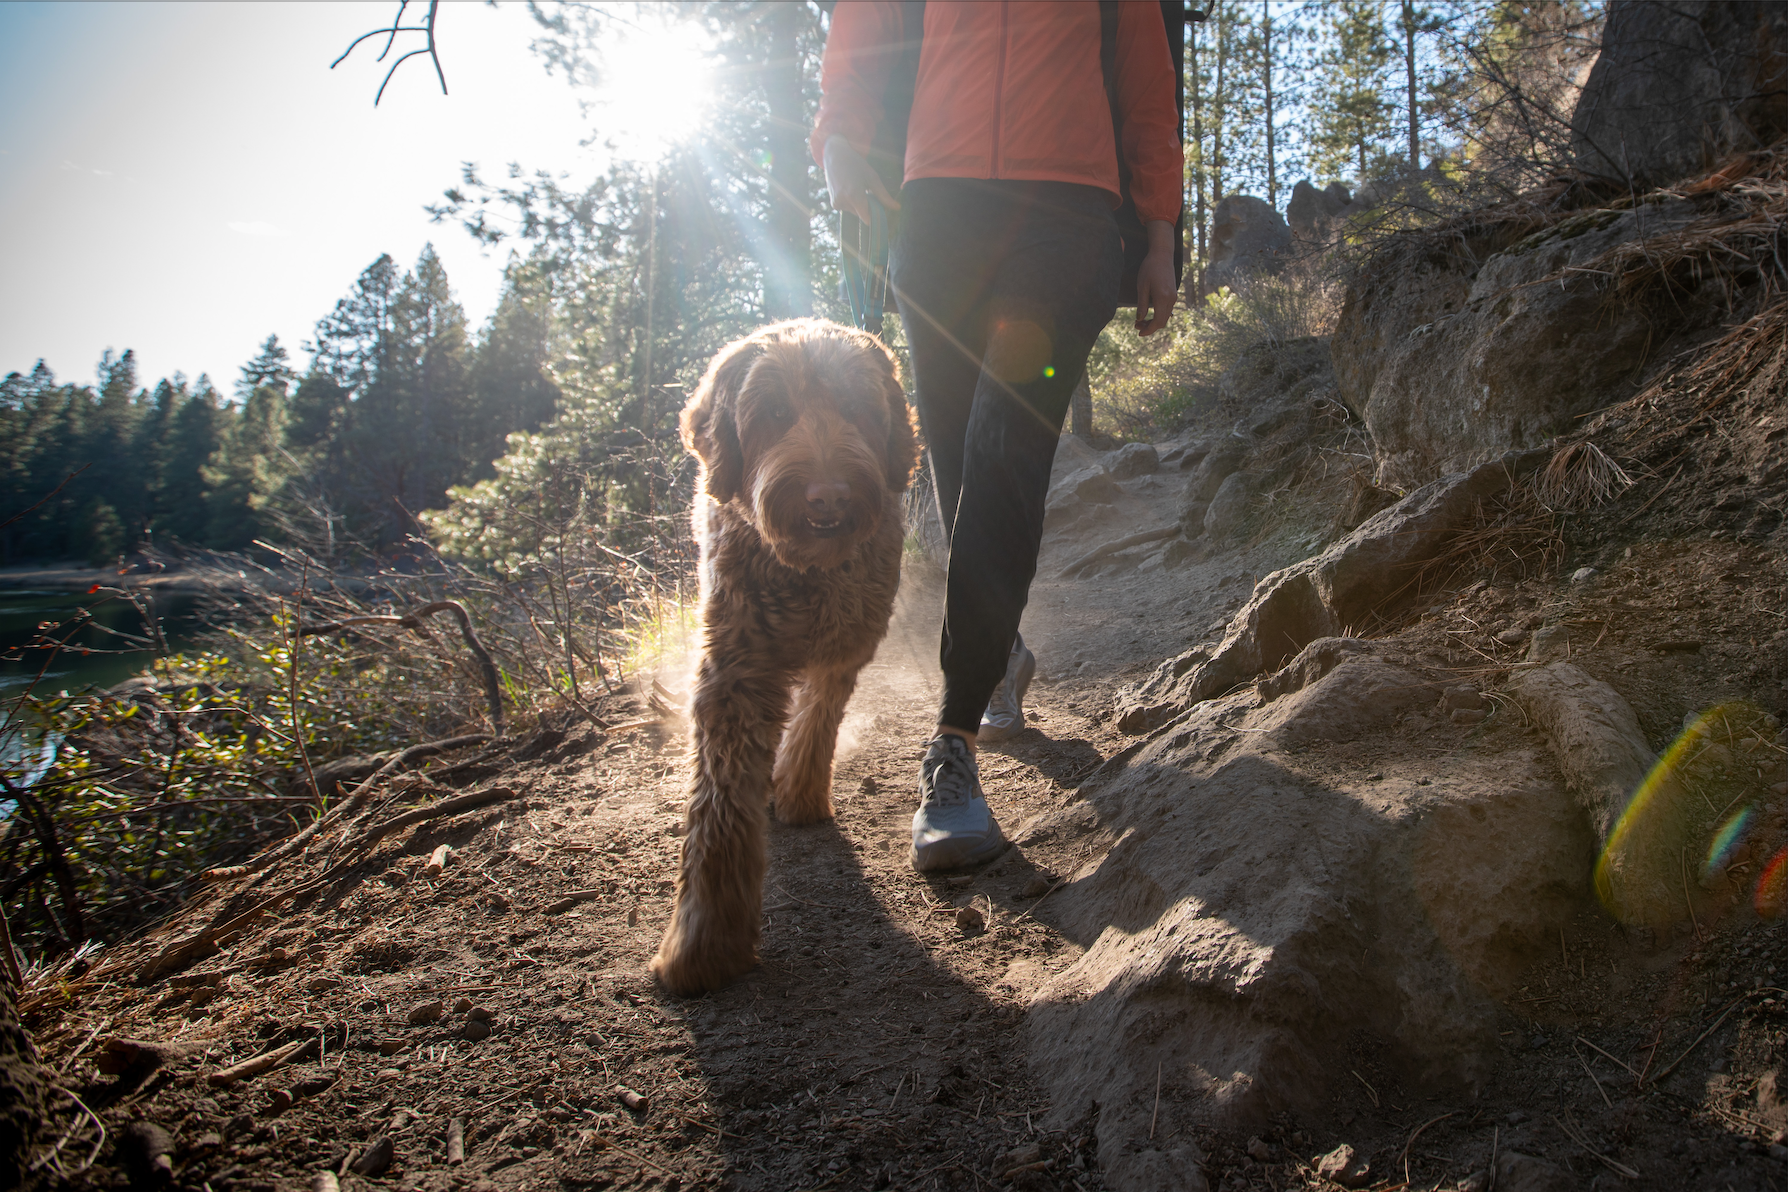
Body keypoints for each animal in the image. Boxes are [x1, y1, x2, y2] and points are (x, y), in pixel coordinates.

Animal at [650, 316, 915, 1000]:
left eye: (857, 407)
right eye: (771, 413)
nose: (829, 497)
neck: (805, 575)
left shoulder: (850, 640)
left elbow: (818, 717)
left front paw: (799, 792)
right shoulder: (736, 667)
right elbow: (717, 806)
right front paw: (705, 944)